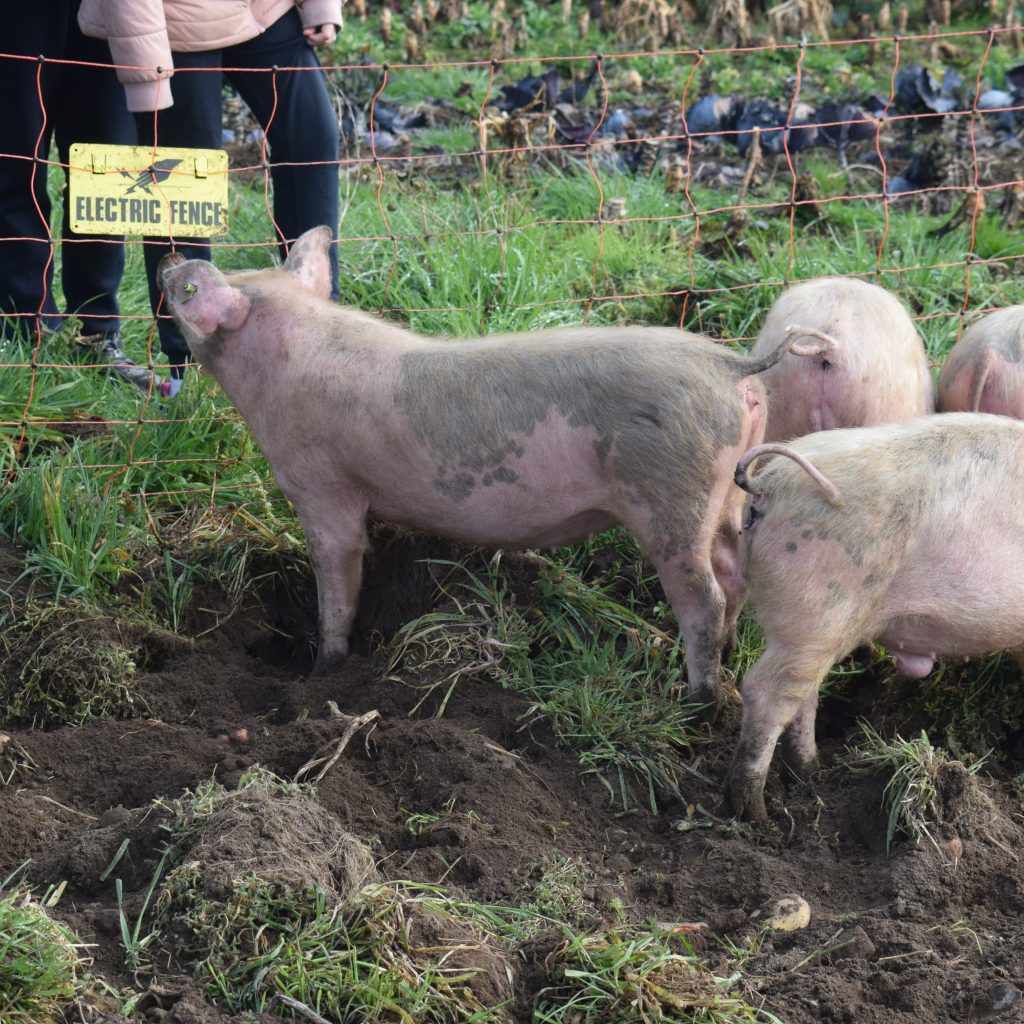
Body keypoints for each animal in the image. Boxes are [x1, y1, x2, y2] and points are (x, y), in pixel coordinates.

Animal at [155, 226, 831, 712]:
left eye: (187, 297)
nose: (168, 264)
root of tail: (731, 367)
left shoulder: (320, 485)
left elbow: (338, 572)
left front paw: (325, 671)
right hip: (726, 496)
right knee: (734, 577)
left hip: (670, 495)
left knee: (704, 597)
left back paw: (698, 700)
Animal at [724, 411, 1024, 819]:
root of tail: (771, 485)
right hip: (818, 609)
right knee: (765, 693)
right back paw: (753, 813)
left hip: (812, 629)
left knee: (802, 694)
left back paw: (810, 774)